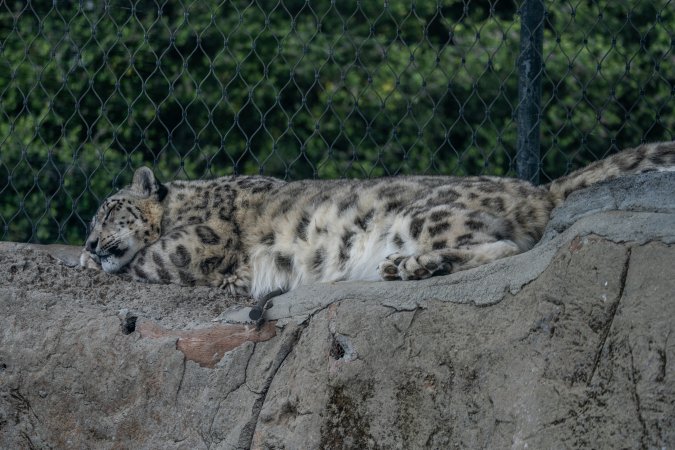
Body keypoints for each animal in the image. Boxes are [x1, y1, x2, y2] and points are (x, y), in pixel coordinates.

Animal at [81, 141, 674, 314]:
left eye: (108, 211)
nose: (89, 238)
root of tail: (536, 188)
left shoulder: (192, 245)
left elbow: (148, 259)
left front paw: (90, 259)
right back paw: (402, 268)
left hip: (428, 213)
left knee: (504, 246)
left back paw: (412, 264)